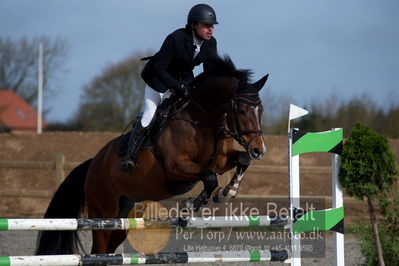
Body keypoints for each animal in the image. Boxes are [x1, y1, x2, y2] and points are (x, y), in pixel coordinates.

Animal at [36, 56, 268, 256]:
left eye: (262, 110)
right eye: (241, 111)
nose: (259, 150)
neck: (201, 119)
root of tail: (93, 163)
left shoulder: (219, 161)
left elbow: (240, 161)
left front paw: (229, 191)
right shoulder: (176, 168)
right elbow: (210, 178)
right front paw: (192, 204)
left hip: (126, 216)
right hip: (103, 212)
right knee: (99, 249)